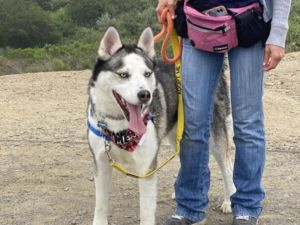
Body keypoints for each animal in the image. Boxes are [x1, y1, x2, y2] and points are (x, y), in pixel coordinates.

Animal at [88, 26, 236, 225]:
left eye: (147, 74)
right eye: (123, 75)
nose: (145, 95)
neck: (120, 129)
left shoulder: (146, 168)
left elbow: (146, 212)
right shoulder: (101, 162)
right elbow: (101, 206)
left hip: (214, 136)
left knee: (227, 167)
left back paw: (230, 201)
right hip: (179, 137)